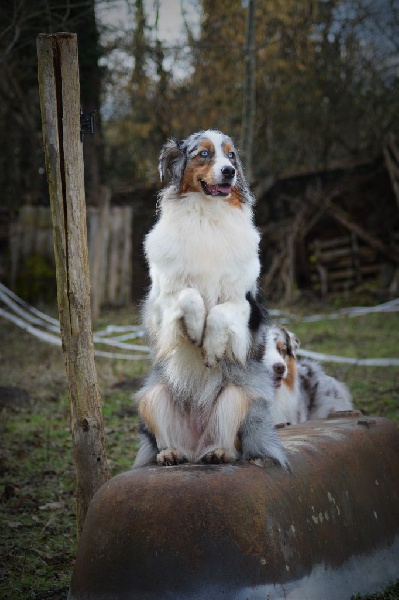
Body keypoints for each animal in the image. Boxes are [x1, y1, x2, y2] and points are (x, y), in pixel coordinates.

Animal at [134, 130, 288, 468]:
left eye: (231, 156)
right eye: (203, 154)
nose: (229, 172)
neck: (207, 214)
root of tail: (195, 449)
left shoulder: (245, 303)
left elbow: (218, 313)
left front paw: (210, 347)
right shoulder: (160, 301)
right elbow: (189, 295)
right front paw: (194, 329)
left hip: (237, 395)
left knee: (232, 445)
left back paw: (218, 453)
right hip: (153, 397)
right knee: (167, 439)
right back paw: (170, 454)